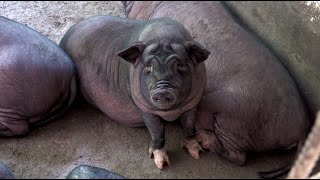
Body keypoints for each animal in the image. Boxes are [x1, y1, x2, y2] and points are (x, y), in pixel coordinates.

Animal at [59, 15, 210, 169]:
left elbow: (190, 127)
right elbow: (157, 132)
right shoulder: (146, 108)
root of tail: (65, 37)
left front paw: (198, 153)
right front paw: (162, 165)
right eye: (149, 66)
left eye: (179, 65)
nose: (162, 91)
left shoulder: (193, 102)